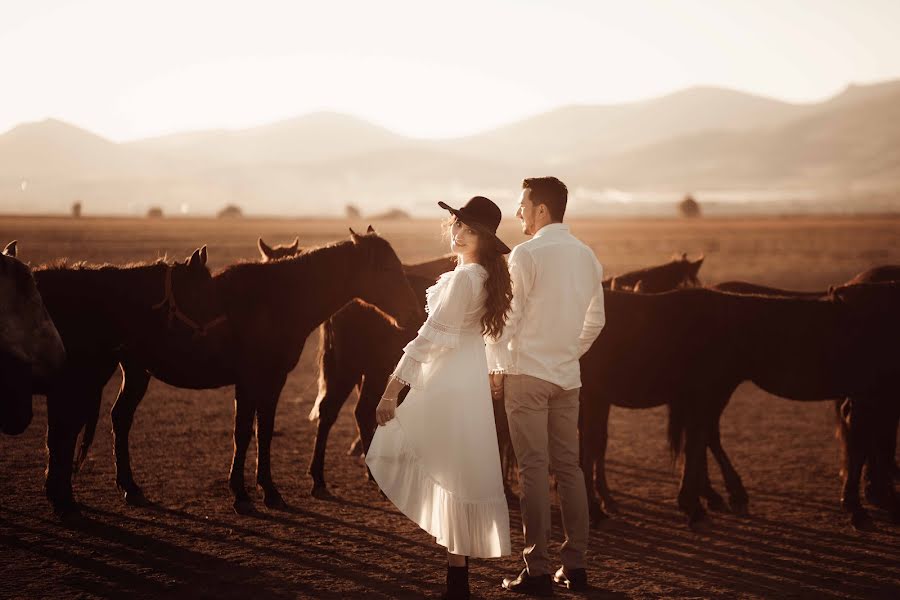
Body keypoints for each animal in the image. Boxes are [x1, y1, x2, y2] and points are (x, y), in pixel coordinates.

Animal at [30, 247, 230, 516]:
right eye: (202, 295)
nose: (226, 338)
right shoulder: (68, 388)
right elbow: (60, 436)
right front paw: (61, 498)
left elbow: (64, 436)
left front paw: (59, 494)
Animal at [104, 227, 422, 512]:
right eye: (385, 268)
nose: (414, 313)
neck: (274, 300)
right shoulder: (249, 380)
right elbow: (243, 432)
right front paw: (241, 494)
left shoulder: (274, 380)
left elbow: (264, 430)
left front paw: (269, 491)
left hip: (137, 372)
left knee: (121, 417)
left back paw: (130, 487)